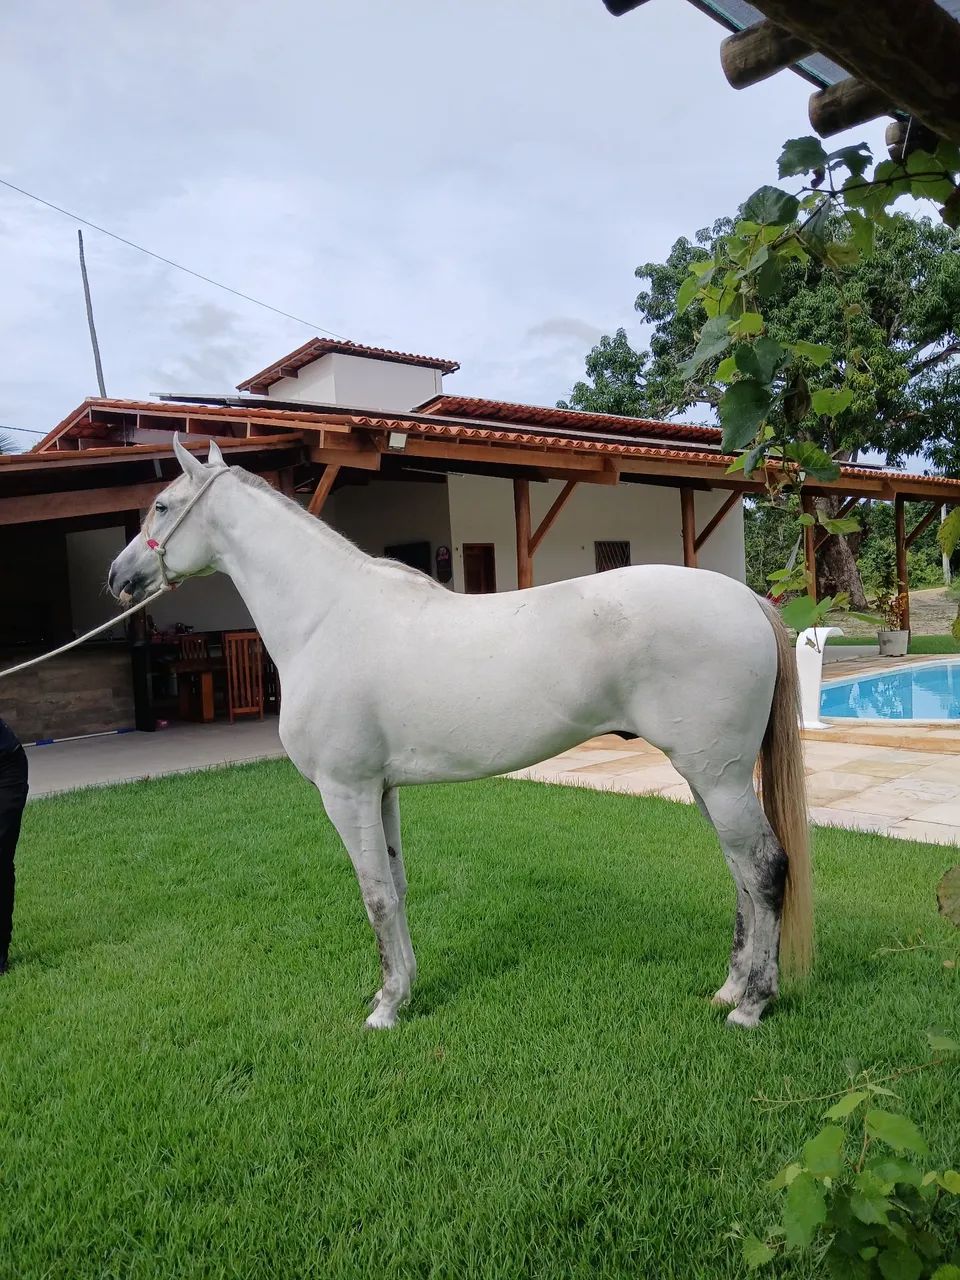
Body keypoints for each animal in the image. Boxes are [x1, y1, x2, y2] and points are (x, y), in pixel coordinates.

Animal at [108, 437, 812, 1031]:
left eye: (161, 506)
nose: (118, 578)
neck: (327, 617)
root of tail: (747, 600)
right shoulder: (380, 790)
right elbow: (396, 888)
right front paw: (402, 990)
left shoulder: (345, 790)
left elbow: (374, 896)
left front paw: (385, 1010)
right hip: (706, 776)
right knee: (739, 873)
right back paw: (728, 989)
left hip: (718, 777)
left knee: (763, 868)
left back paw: (751, 1006)